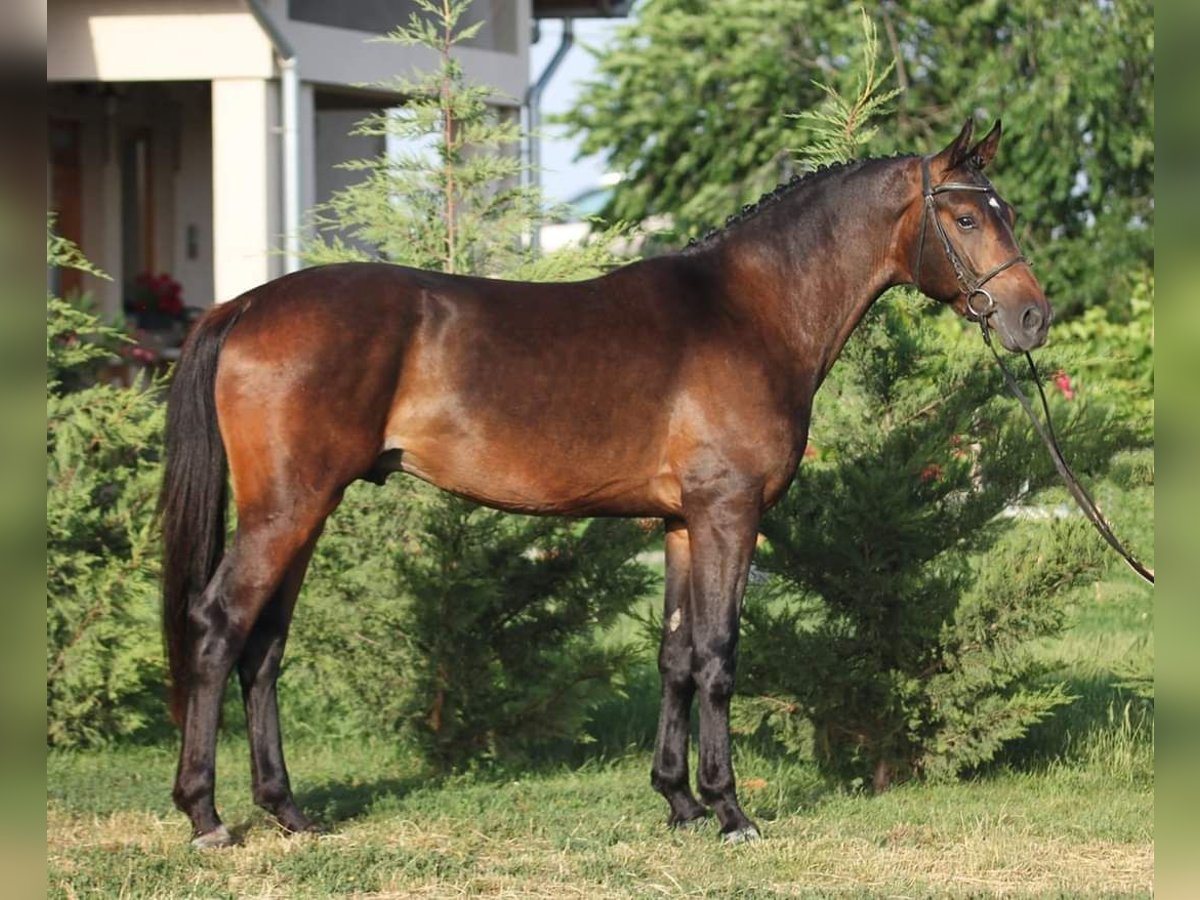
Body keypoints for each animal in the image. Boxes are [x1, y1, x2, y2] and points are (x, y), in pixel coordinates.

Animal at [162, 118, 1051, 844]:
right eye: (966, 217)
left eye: (1006, 209)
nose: (1033, 317)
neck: (750, 312)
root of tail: (244, 307)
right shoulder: (729, 512)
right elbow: (719, 655)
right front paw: (731, 811)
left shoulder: (684, 522)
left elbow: (676, 655)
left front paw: (679, 802)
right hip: (287, 510)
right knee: (218, 626)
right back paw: (206, 816)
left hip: (303, 512)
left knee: (264, 649)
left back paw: (288, 811)